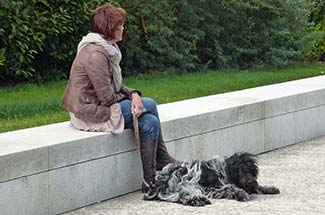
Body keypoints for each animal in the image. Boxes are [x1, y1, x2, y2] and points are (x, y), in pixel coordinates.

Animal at [144, 152, 278, 206]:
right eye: (240, 171)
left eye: (251, 171)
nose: (250, 181)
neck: (222, 170)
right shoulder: (211, 187)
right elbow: (229, 188)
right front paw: (241, 194)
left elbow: (257, 187)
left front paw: (269, 188)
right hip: (186, 184)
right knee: (182, 196)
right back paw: (197, 201)